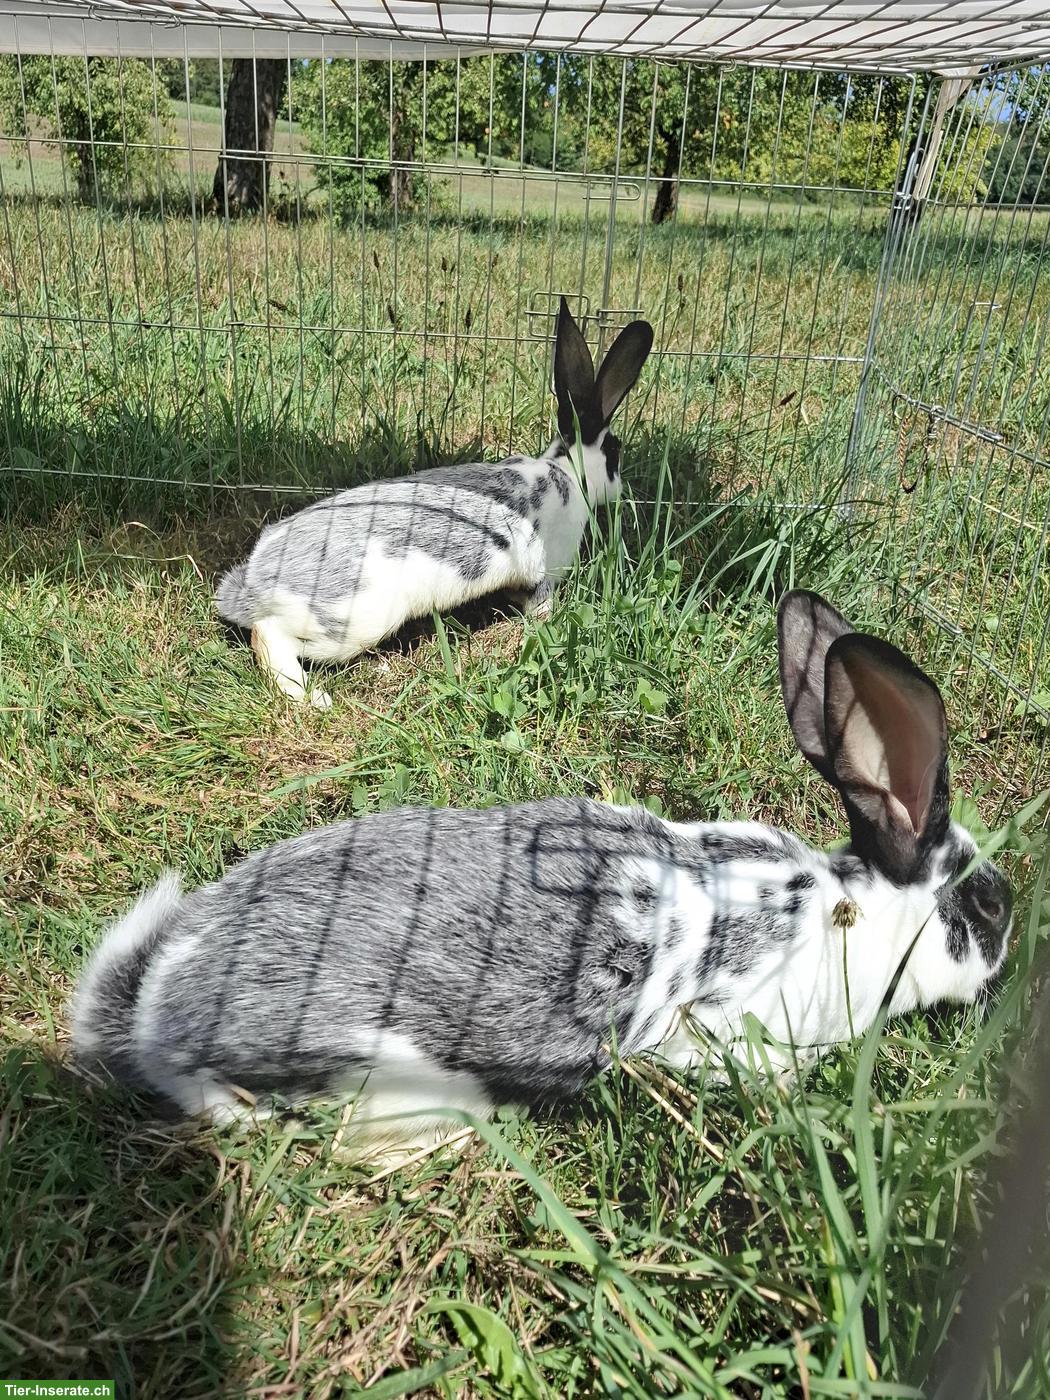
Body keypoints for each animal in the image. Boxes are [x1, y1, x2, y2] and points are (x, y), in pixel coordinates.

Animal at [215, 299, 654, 709]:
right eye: (615, 452)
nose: (622, 488)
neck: (566, 472)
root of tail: (253, 583)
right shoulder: (543, 574)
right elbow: (541, 605)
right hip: (351, 622)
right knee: (267, 636)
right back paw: (312, 696)